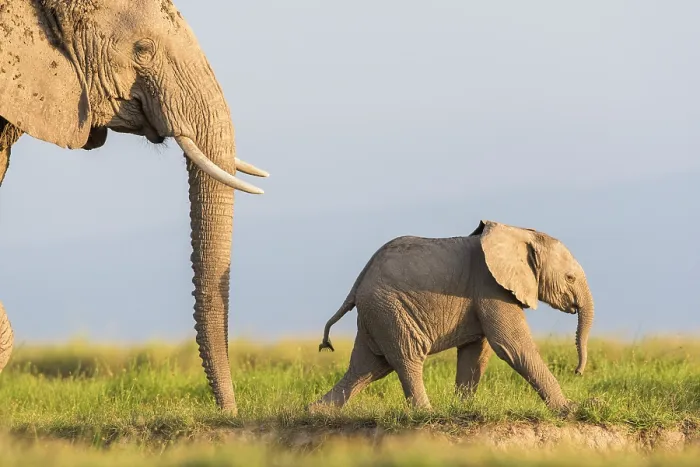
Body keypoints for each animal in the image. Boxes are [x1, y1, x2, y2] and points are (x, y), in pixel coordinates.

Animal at [311, 220, 594, 413]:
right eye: (570, 278)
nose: (577, 371)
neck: (518, 231)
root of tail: (359, 281)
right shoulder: (490, 286)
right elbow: (512, 345)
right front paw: (569, 409)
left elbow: (476, 351)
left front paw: (464, 409)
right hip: (390, 310)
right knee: (406, 357)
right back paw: (426, 413)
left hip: (376, 315)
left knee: (367, 366)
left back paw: (317, 411)